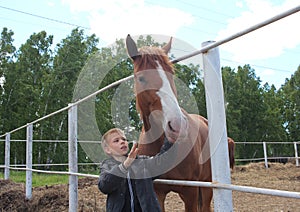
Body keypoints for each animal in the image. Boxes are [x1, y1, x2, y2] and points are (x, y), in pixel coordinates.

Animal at [125, 35, 233, 212]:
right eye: (141, 78)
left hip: (206, 185)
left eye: (171, 75)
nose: (177, 125)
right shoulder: (158, 192)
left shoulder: (190, 193)